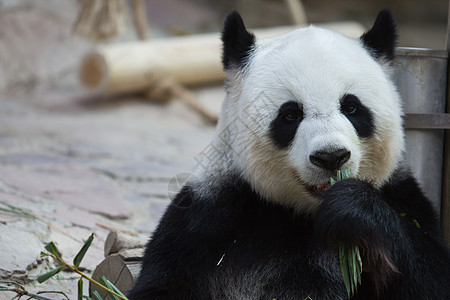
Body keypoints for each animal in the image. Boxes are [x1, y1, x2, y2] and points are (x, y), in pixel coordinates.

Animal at [127, 9, 450, 300]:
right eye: (291, 114)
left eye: (352, 107)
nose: (331, 156)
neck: (304, 215)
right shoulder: (208, 219)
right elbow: (161, 286)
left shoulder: (403, 198)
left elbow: (430, 278)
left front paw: (352, 207)